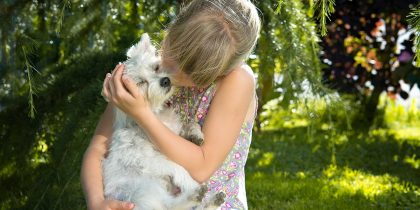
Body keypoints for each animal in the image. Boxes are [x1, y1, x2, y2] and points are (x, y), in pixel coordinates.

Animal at [102, 33, 225, 209]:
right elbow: (179, 168)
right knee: (170, 205)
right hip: (145, 189)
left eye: (156, 68)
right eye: (141, 82)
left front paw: (195, 134)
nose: (165, 80)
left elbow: (190, 123)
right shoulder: (151, 161)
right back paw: (196, 195)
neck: (157, 115)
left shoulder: (173, 131)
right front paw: (191, 183)